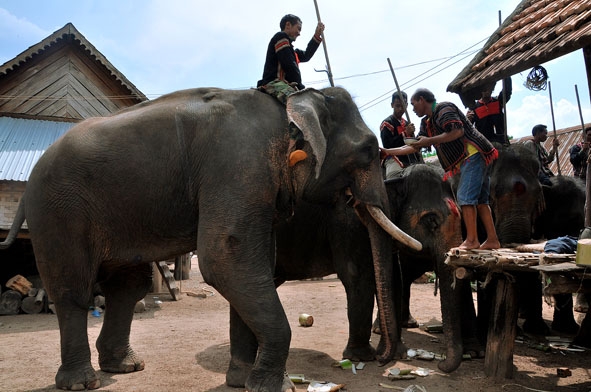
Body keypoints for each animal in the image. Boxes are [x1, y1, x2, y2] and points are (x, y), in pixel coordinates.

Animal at [0, 88, 420, 392]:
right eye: (369, 150)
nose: (383, 359)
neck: (291, 102)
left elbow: (250, 269)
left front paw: (242, 381)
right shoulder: (239, 168)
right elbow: (225, 260)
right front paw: (275, 386)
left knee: (128, 286)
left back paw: (126, 367)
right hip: (59, 211)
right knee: (74, 290)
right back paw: (82, 383)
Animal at [276, 162, 464, 362]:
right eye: (431, 220)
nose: (382, 358)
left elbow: (393, 278)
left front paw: (398, 353)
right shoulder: (348, 221)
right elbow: (358, 275)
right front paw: (361, 357)